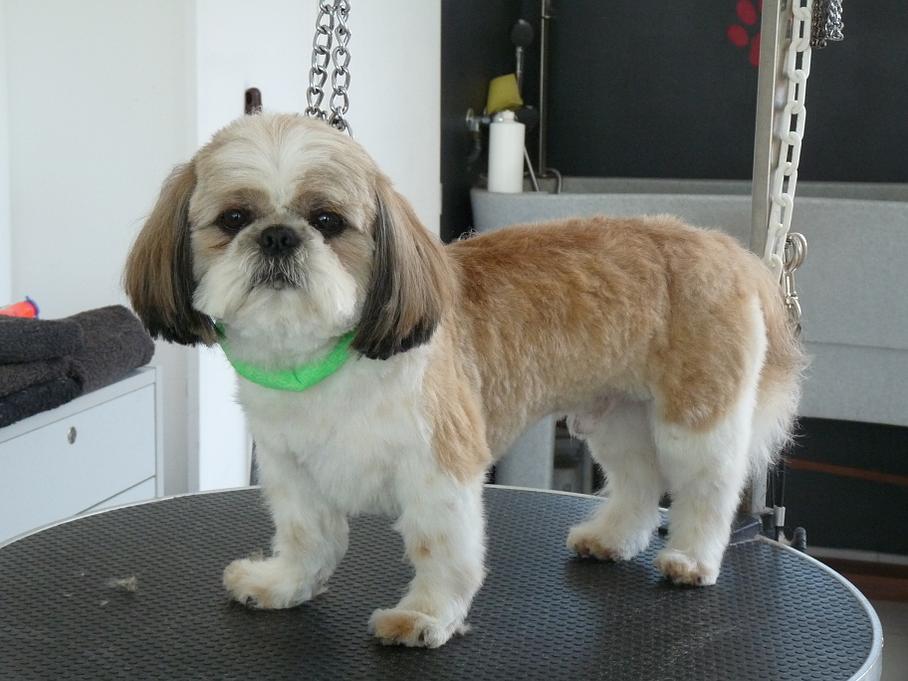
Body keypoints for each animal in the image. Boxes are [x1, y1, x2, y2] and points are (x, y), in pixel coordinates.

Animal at [124, 113, 804, 648]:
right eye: (233, 216)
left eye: (329, 220)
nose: (278, 236)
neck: (324, 363)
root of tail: (727, 250)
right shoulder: (291, 469)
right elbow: (306, 536)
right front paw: (284, 583)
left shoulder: (438, 467)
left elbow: (441, 550)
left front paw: (424, 618)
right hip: (616, 414)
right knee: (637, 482)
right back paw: (611, 538)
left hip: (697, 417)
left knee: (707, 490)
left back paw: (692, 557)